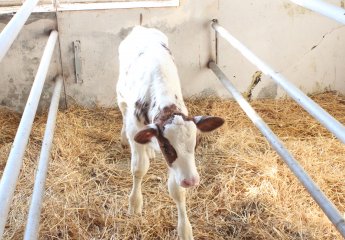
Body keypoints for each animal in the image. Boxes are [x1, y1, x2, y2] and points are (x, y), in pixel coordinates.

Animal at [115, 25, 223, 239]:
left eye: (195, 145)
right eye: (166, 147)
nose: (191, 181)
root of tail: (140, 28)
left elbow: (177, 190)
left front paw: (185, 229)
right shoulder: (135, 130)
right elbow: (138, 169)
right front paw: (135, 204)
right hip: (120, 92)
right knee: (123, 110)